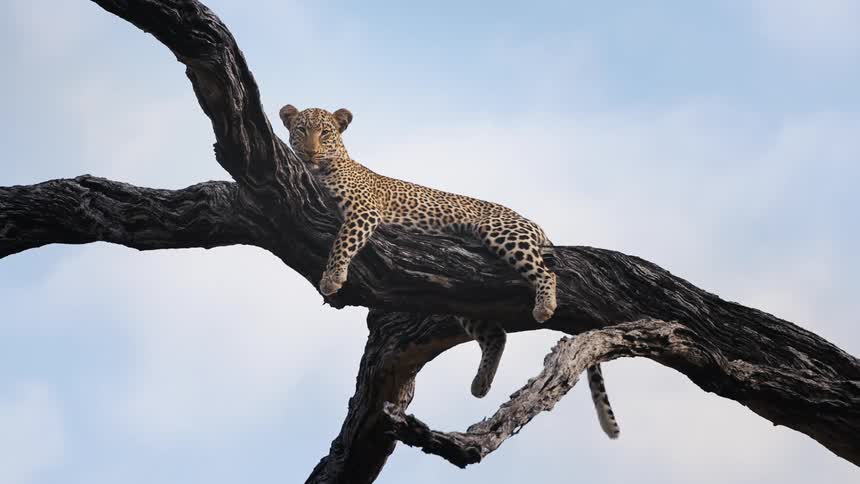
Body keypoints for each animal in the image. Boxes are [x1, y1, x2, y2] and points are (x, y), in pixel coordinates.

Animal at [280, 104, 620, 438]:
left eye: (325, 133)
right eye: (301, 130)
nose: (310, 152)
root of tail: (535, 225)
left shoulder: (363, 211)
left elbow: (343, 242)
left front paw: (332, 278)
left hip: (498, 231)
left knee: (546, 273)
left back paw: (545, 306)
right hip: (461, 293)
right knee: (496, 334)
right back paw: (480, 384)